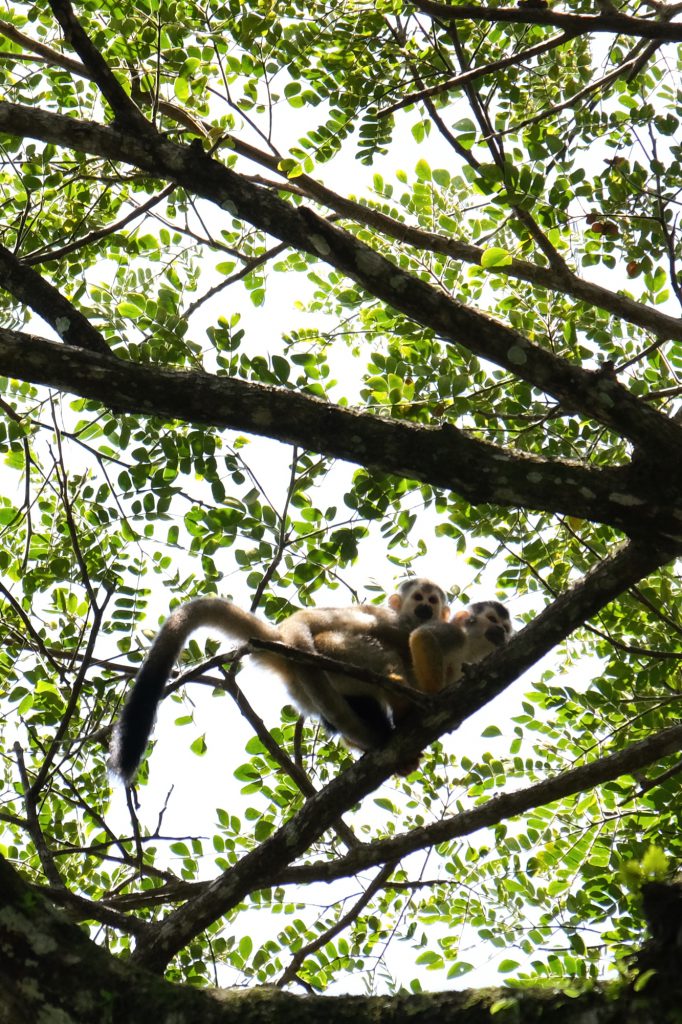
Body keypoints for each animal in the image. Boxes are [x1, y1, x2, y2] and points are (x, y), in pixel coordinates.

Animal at [107, 577, 446, 782]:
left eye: (433, 600)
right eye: (418, 597)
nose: (425, 607)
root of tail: (281, 647)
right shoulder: (393, 621)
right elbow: (311, 619)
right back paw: (399, 704)